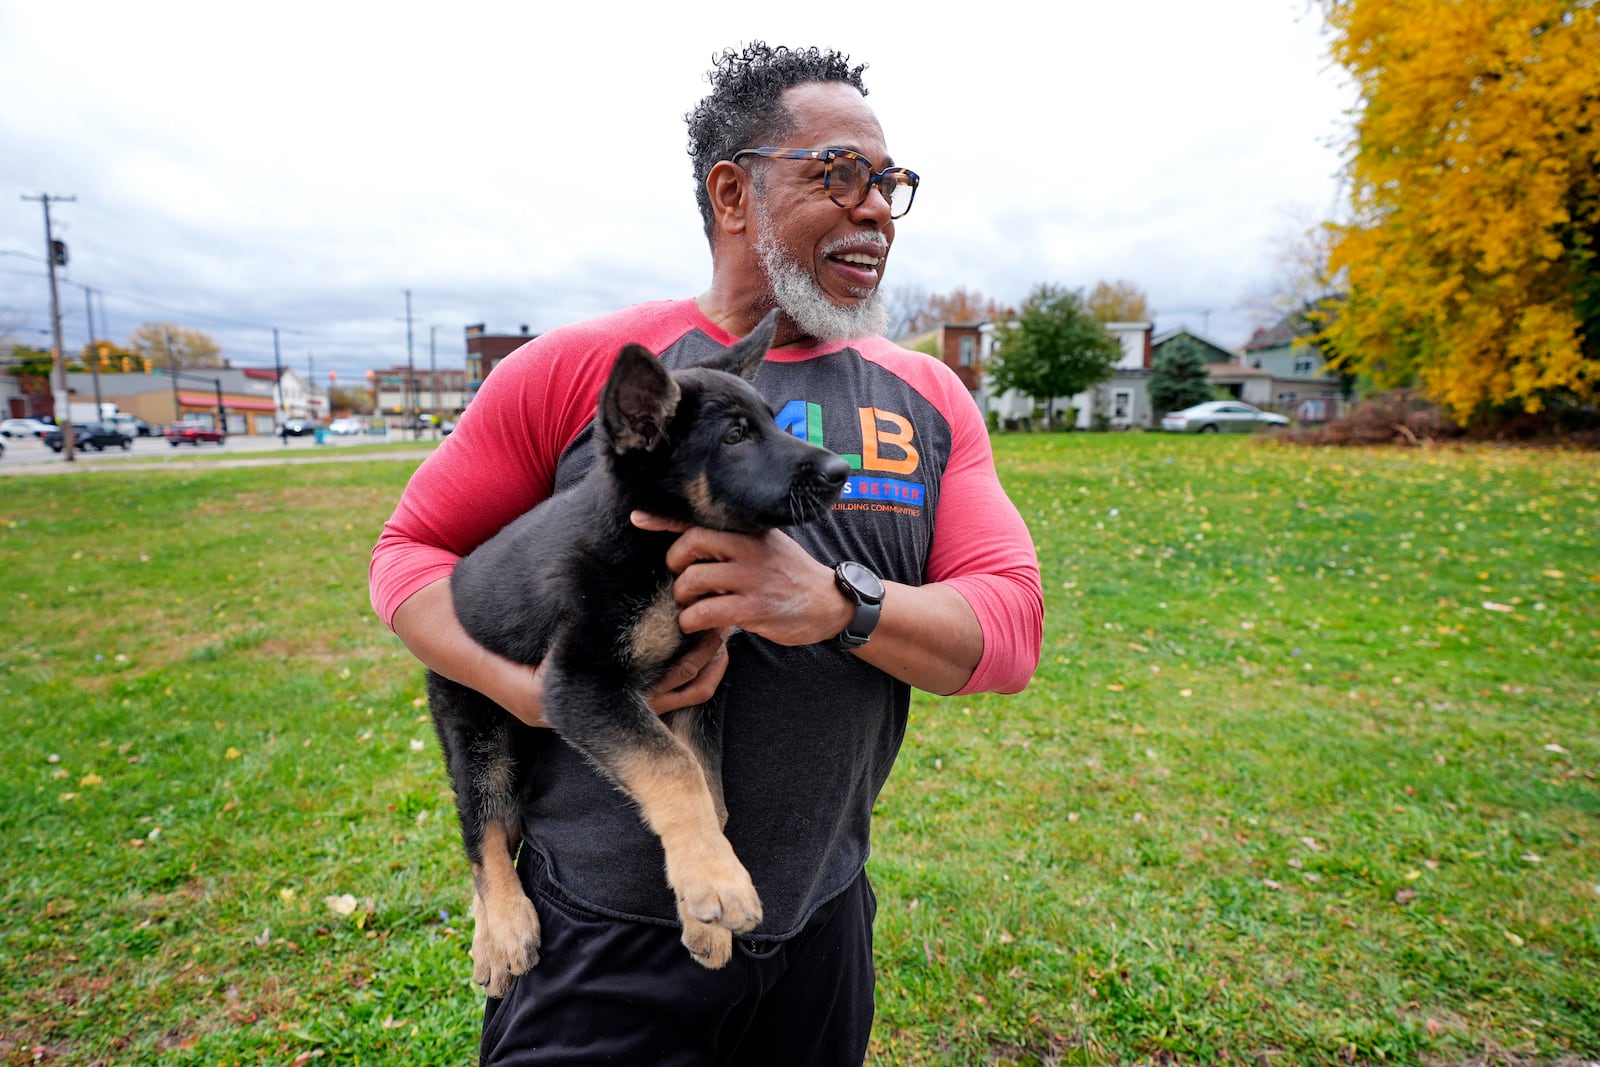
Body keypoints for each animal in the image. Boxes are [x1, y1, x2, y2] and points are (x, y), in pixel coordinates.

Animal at [425, 313, 851, 998]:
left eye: (771, 422)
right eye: (735, 436)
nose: (840, 471)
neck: (657, 546)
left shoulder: (703, 684)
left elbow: (707, 788)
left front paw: (703, 908)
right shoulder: (580, 682)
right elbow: (673, 768)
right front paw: (718, 882)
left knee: (502, 825)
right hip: (475, 724)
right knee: (481, 826)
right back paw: (505, 930)